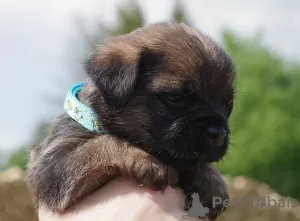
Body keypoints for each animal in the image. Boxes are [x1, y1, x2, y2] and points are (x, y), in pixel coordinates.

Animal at [27, 21, 236, 220]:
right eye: (177, 98)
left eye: (227, 106)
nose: (218, 133)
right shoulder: (51, 167)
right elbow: (101, 144)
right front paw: (146, 161)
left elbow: (195, 162)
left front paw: (212, 181)